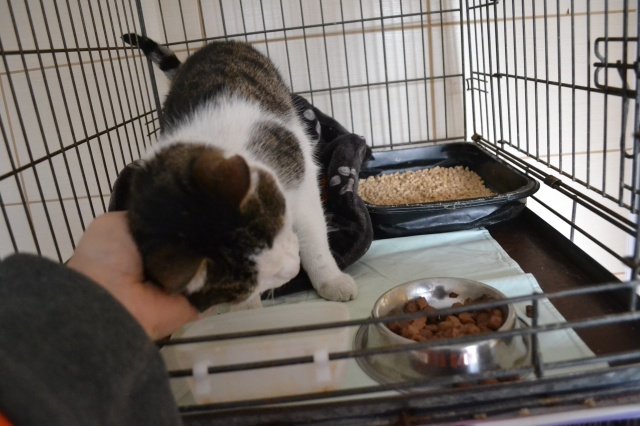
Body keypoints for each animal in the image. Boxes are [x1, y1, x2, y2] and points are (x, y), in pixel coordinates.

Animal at [120, 34, 358, 312]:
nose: (288, 271)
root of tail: (213, 45)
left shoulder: (303, 182)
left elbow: (314, 239)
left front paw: (331, 280)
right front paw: (248, 311)